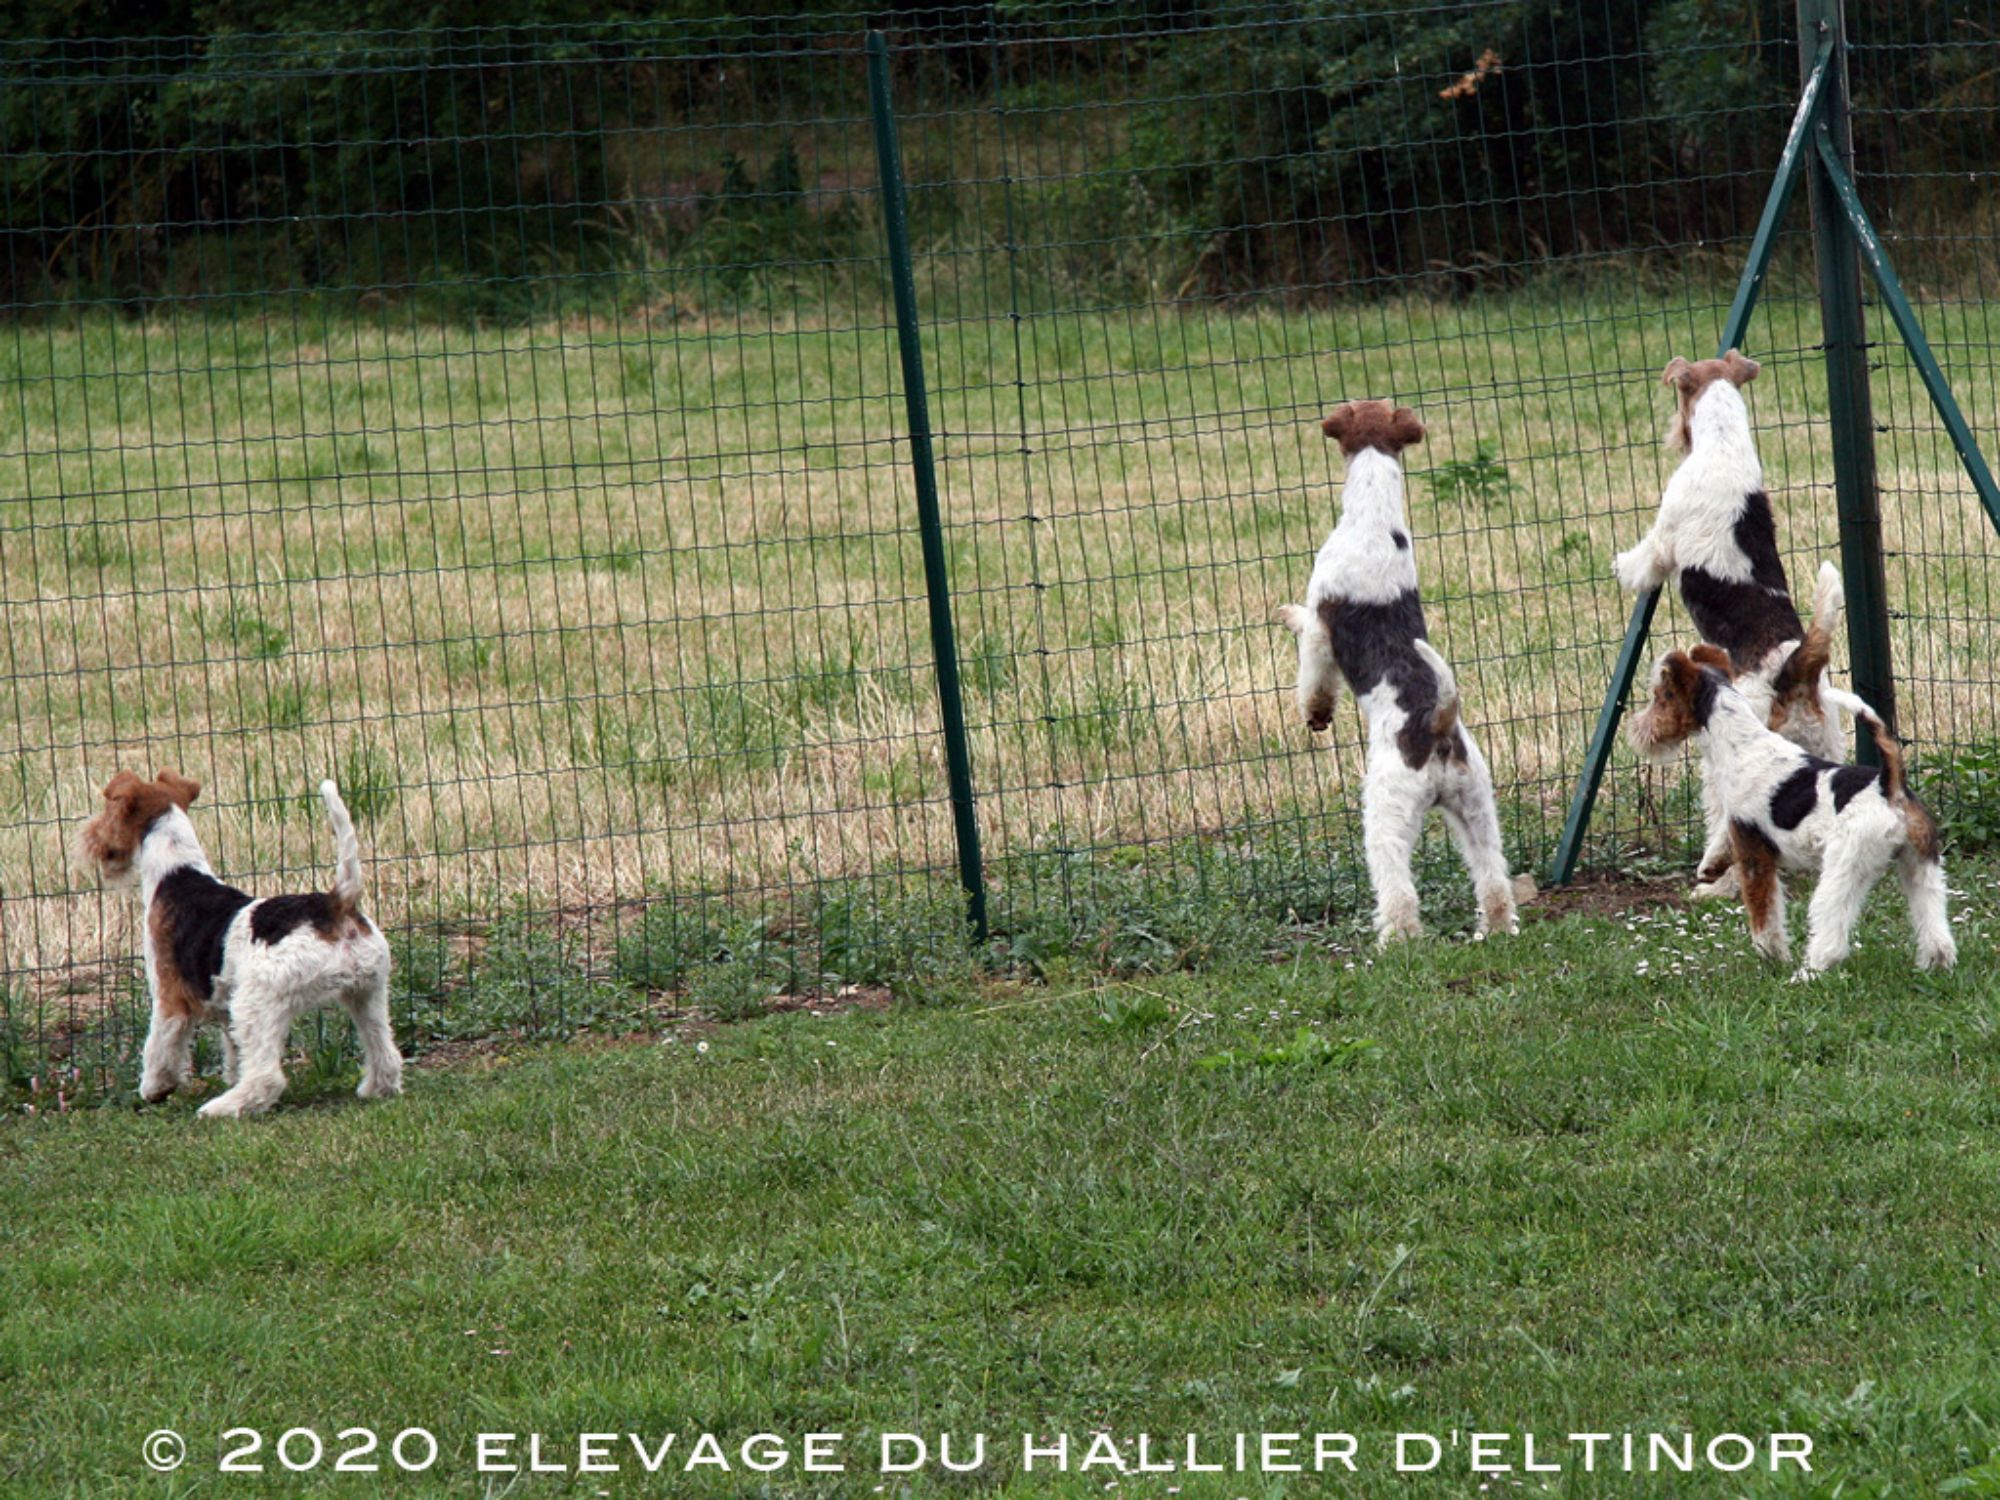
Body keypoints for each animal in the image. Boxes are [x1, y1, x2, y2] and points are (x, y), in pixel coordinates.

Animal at [77, 771, 400, 1117]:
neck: (176, 873)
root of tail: (338, 904)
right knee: (385, 1050)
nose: (90, 839)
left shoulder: (169, 995)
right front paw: (230, 1076)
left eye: (110, 809)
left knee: (267, 1077)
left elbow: (161, 1046)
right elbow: (233, 1051)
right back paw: (377, 1088)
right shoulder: (222, 1005)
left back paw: (221, 1108)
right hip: (367, 992)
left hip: (256, 1000)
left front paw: (155, 1089)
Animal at [1278, 400, 1519, 946]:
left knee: (1399, 889)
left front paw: (1314, 710)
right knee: (1493, 878)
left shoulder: (1321, 629)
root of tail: (1439, 725)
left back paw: (1396, 939)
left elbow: (1311, 664)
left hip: (1387, 811)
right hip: (1477, 807)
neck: (1374, 518)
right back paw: (1495, 927)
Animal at [1612, 349, 1848, 895]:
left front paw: (1617, 566)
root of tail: (1795, 672)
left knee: (1731, 825)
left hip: (1729, 759)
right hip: (1822, 743)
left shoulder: (1661, 539)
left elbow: (1642, 560)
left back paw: (1714, 885)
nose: (1674, 437)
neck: (1723, 444)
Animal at [1629, 647, 1954, 978]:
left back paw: (1806, 973)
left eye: (1661, 696)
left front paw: (1771, 957)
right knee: (1935, 925)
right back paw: (1936, 964)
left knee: (1831, 932)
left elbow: (1764, 915)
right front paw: (1710, 864)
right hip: (1921, 864)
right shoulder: (1736, 822)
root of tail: (1890, 786)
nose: (1637, 730)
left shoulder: (1753, 853)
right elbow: (1721, 834)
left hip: (1845, 867)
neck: (1740, 744)